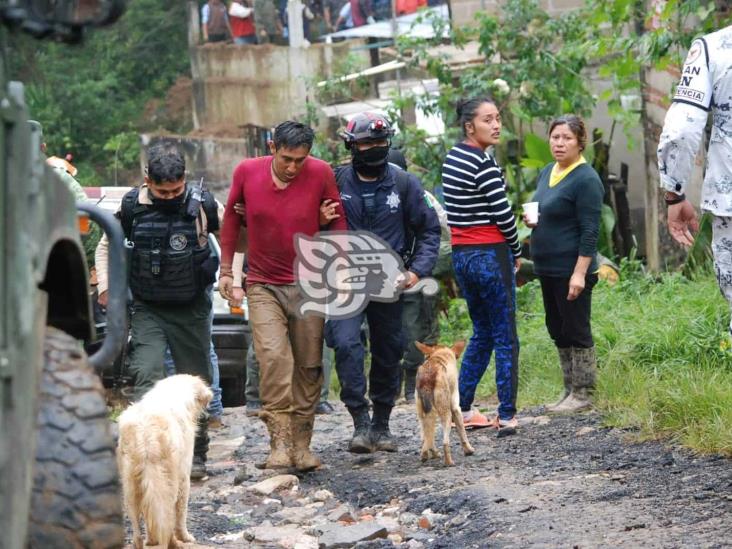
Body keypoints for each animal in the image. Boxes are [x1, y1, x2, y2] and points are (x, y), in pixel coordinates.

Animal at [116, 372, 210, 548]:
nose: (208, 416)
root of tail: (145, 433)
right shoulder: (183, 477)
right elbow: (181, 512)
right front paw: (186, 537)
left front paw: (152, 540)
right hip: (168, 481)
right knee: (167, 516)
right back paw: (174, 542)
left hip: (131, 484)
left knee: (137, 526)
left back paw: (141, 542)